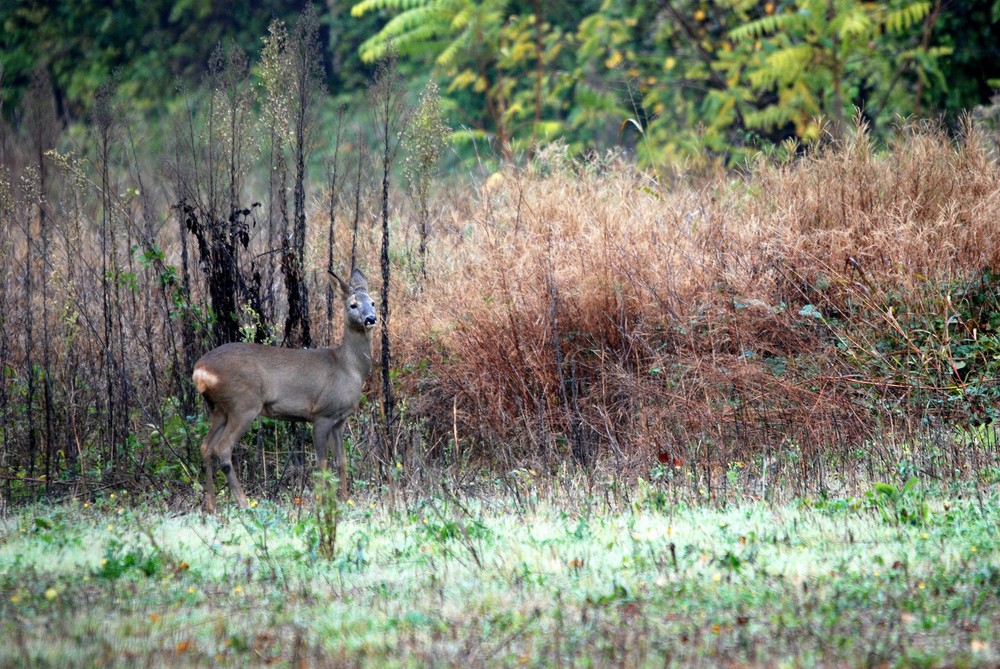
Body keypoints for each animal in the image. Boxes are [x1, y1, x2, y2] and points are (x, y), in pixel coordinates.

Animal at [189, 266, 376, 512]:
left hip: (219, 409)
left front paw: (345, 500)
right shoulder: (322, 414)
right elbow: (323, 464)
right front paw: (324, 504)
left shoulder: (339, 420)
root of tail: (200, 370)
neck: (348, 367)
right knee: (222, 449)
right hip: (243, 404)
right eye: (353, 304)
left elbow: (342, 462)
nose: (371, 318)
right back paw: (244, 503)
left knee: (205, 447)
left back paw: (212, 506)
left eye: (373, 302)